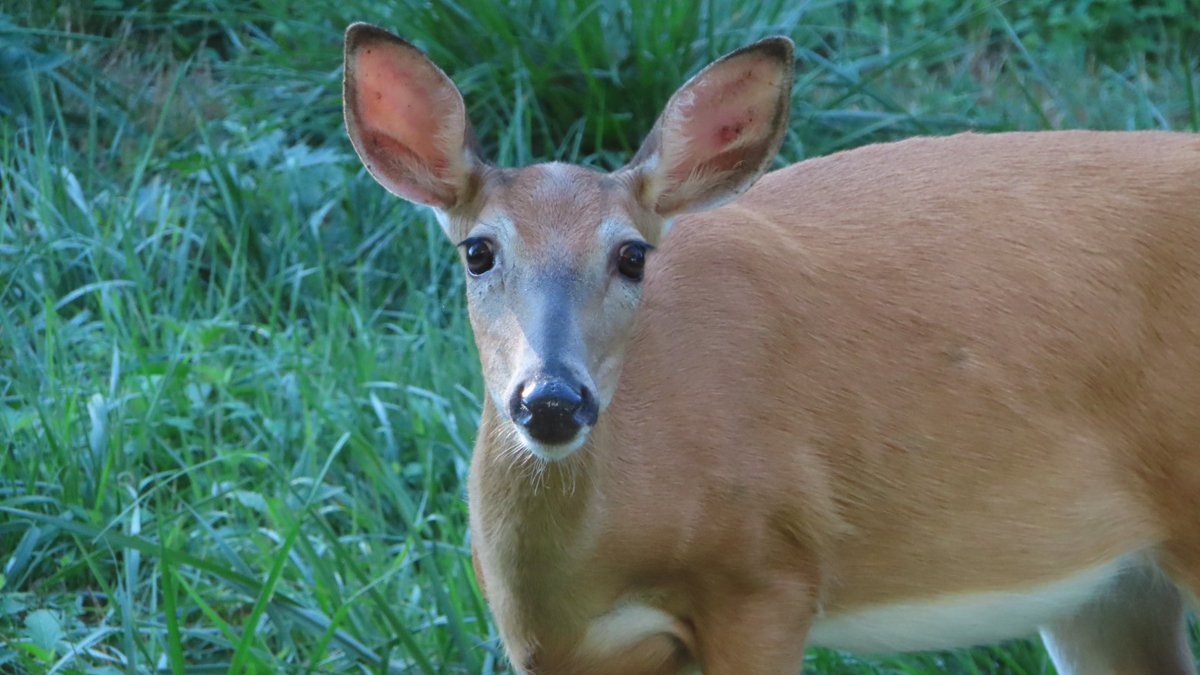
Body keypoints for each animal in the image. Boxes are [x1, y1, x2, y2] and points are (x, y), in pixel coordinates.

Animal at [342, 22, 1200, 675]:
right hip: (1111, 589)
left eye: (632, 255)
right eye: (478, 251)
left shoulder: (765, 576)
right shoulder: (554, 647)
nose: (552, 397)